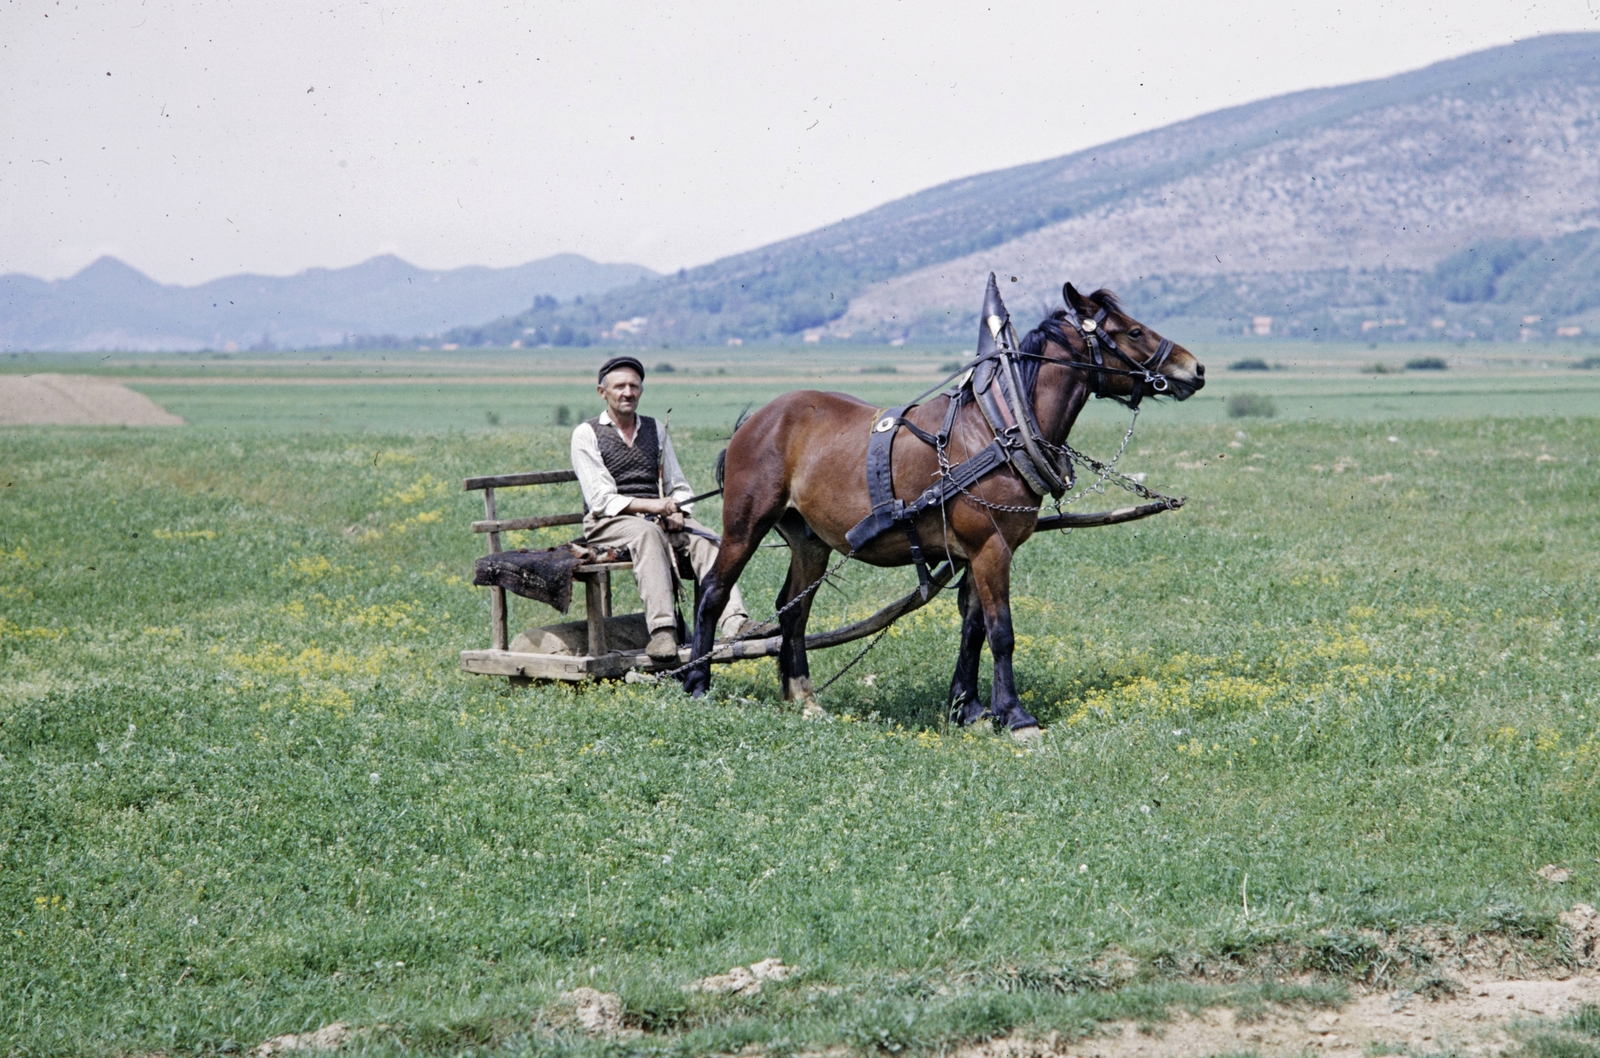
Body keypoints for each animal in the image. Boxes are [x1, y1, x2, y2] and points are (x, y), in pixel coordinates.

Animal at [682, 280, 1205, 735]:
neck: (1000, 427)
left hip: (810, 540)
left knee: (793, 611)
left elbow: (973, 628)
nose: (1195, 368)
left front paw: (968, 708)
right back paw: (696, 683)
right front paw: (1015, 716)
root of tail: (756, 421)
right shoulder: (991, 547)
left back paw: (803, 697)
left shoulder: (979, 553)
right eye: (1132, 331)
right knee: (713, 592)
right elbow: (1001, 630)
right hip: (746, 523)